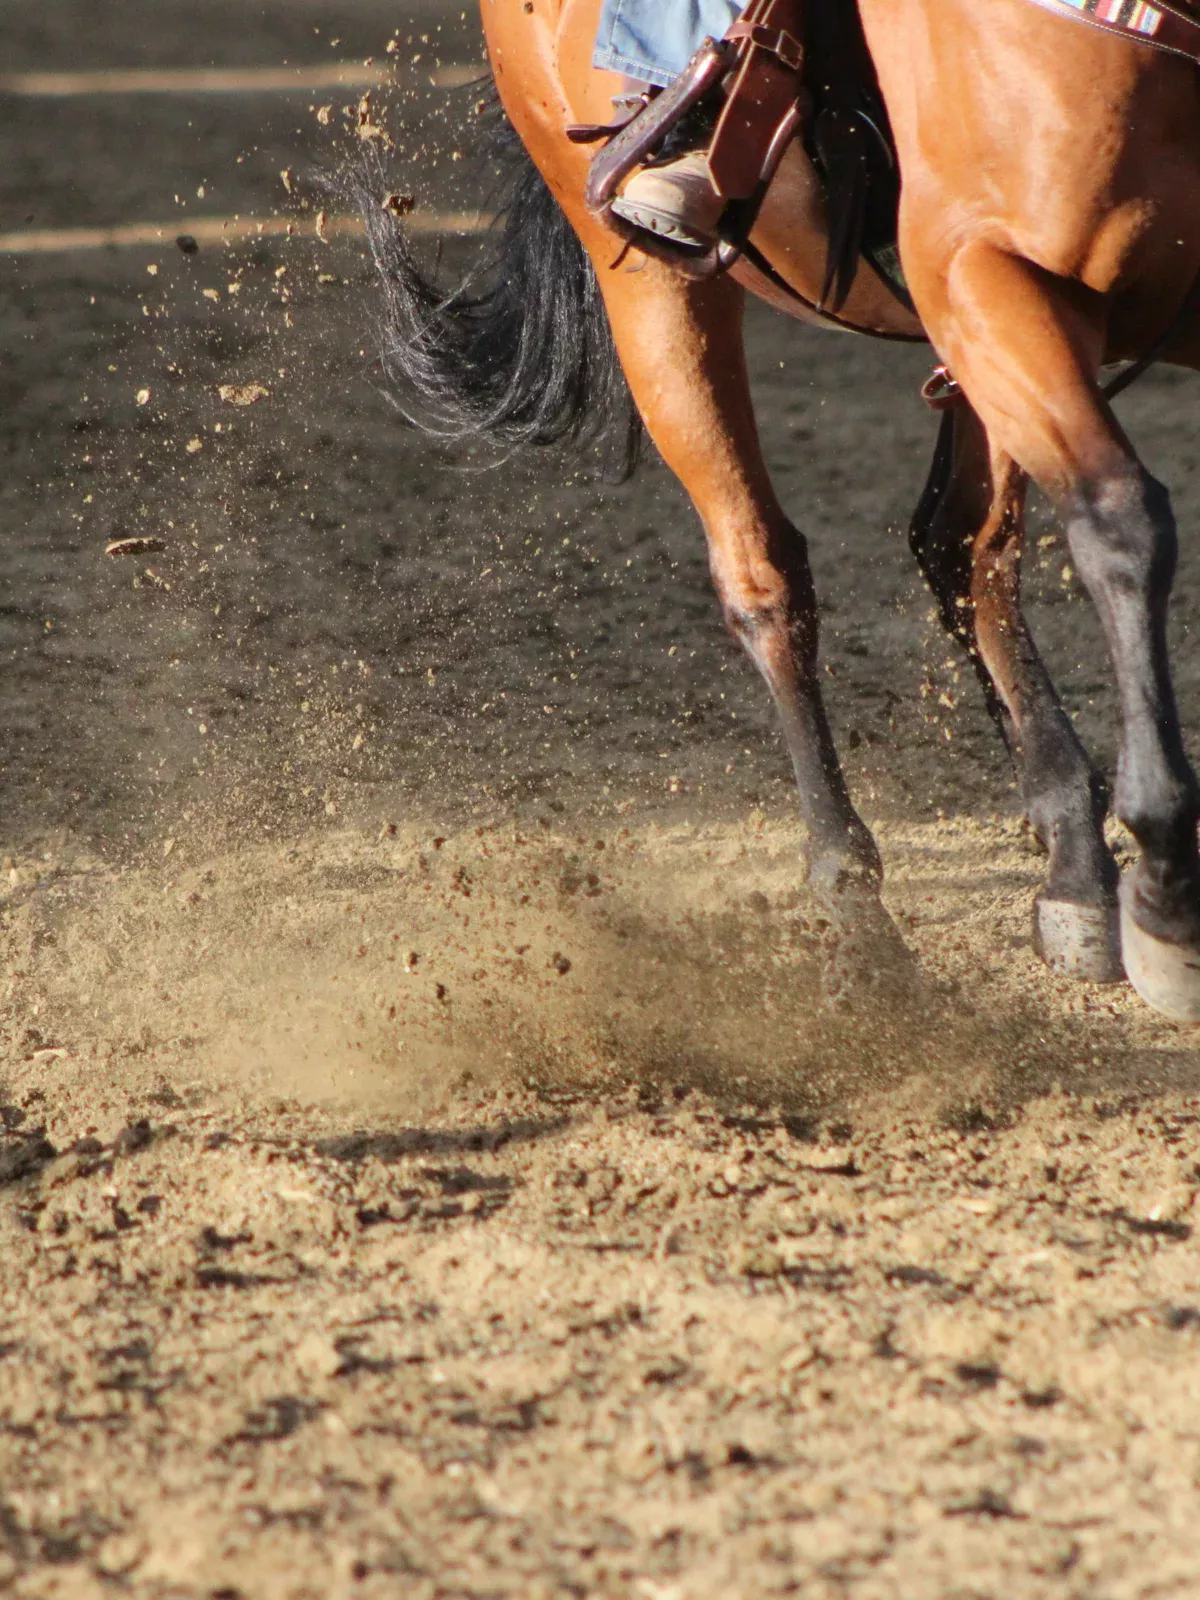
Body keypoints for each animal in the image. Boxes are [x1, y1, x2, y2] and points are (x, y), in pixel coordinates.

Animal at [364, 0, 1200, 1017]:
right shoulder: (992, 270)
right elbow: (1124, 527)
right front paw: (1169, 904)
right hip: (661, 291)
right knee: (768, 577)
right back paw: (861, 917)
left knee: (962, 546)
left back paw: (1074, 870)